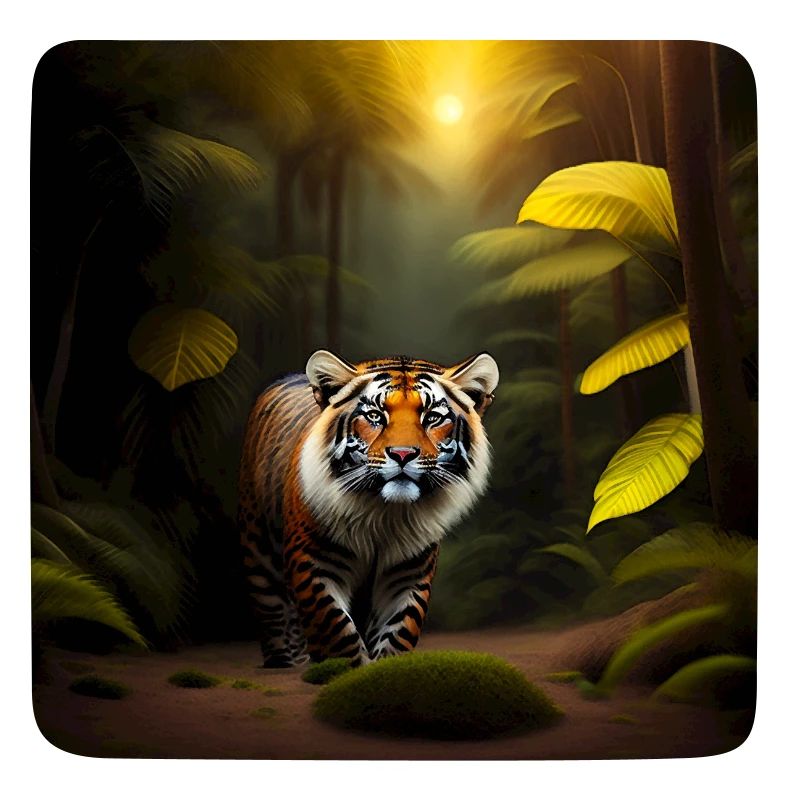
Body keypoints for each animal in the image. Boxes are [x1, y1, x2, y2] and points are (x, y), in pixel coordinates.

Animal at [237, 349, 499, 668]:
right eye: (375, 416)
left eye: (432, 418)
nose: (403, 454)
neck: (384, 513)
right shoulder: (313, 561)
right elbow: (336, 630)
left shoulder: (408, 572)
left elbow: (399, 631)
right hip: (259, 550)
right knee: (273, 611)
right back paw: (283, 661)